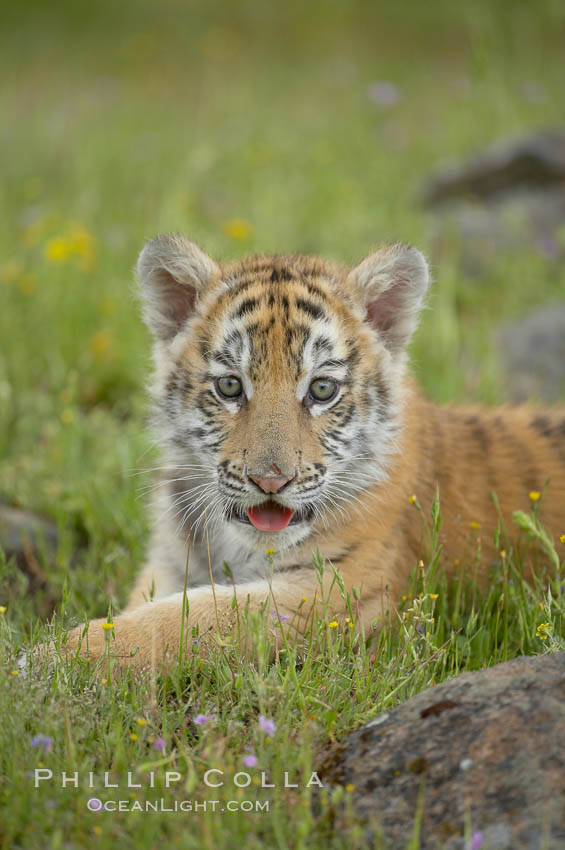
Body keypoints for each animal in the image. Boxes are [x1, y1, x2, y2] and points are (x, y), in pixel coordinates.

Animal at [38, 234, 565, 671]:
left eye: (322, 389)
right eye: (230, 386)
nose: (271, 480)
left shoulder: (342, 587)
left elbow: (195, 618)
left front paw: (54, 658)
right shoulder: (168, 561)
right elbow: (151, 607)